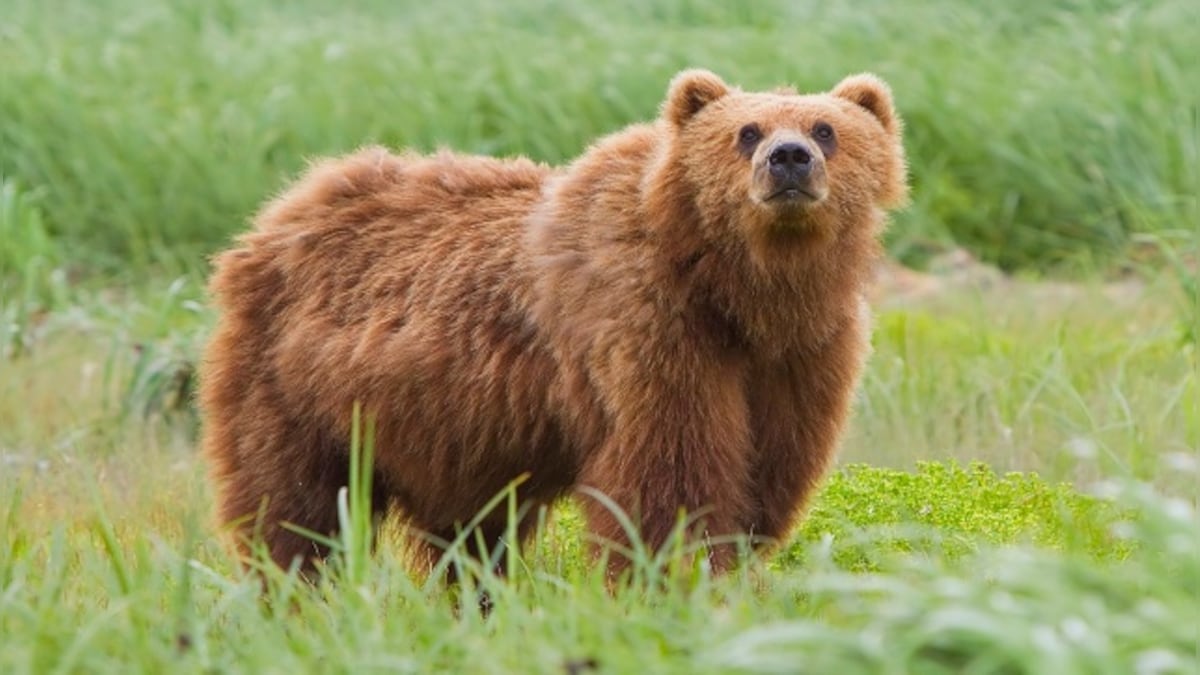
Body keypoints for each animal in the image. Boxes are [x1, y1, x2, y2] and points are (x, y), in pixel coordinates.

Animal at [199, 66, 907, 578]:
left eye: (825, 128)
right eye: (748, 132)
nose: (789, 159)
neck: (740, 292)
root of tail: (283, 208)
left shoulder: (800, 356)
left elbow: (767, 474)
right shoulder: (649, 330)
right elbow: (670, 477)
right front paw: (671, 577)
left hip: (451, 433)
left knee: (469, 535)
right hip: (297, 387)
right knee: (295, 508)